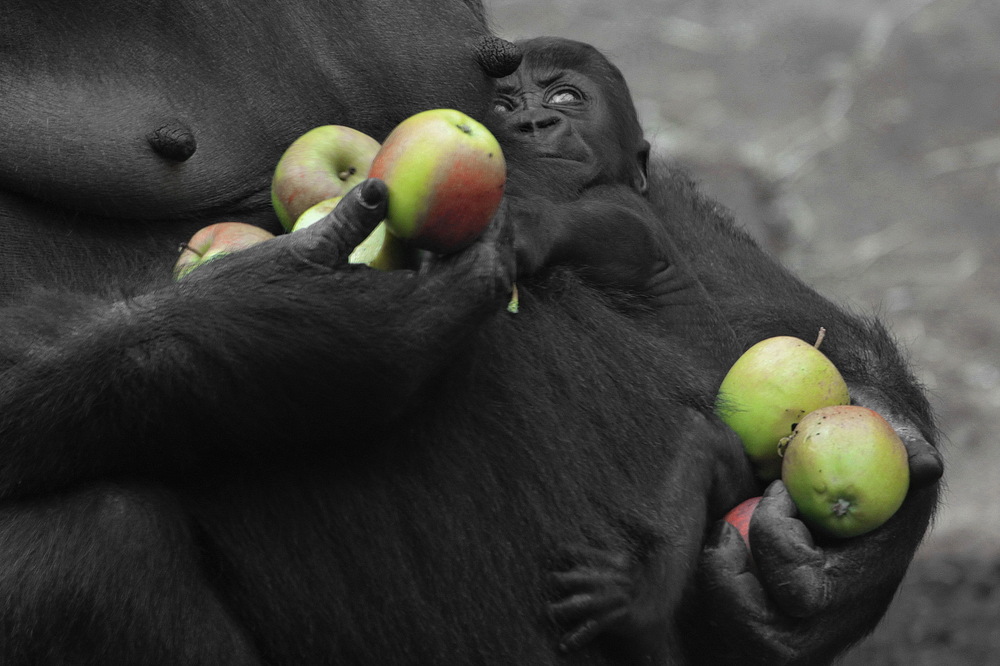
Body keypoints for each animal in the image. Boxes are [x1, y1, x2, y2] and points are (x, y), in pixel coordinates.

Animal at [0, 1, 936, 664]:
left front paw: (844, 563)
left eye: (565, 97)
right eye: (510, 96)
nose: (529, 121)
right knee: (80, 552)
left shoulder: (612, 211)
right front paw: (299, 328)